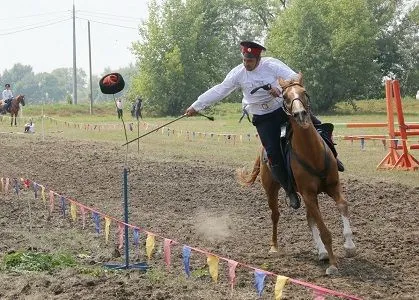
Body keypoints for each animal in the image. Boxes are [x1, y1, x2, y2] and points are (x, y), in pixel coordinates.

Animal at [238, 73, 356, 274]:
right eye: (285, 97)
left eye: (304, 92)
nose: (300, 114)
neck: (312, 154)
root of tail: (262, 150)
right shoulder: (308, 195)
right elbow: (324, 230)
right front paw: (333, 264)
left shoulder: (333, 186)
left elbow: (342, 205)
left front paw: (349, 246)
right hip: (272, 191)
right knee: (276, 215)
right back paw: (275, 247)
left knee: (309, 219)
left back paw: (321, 252)